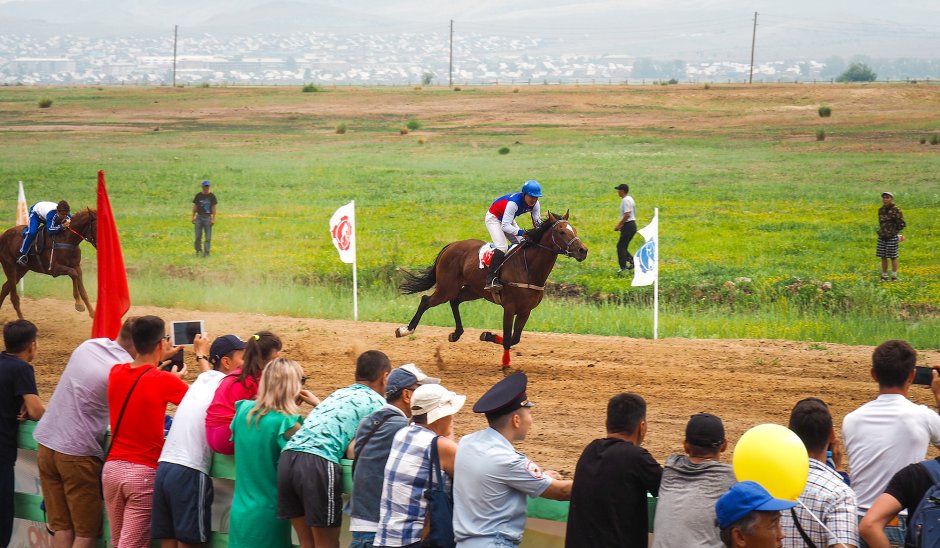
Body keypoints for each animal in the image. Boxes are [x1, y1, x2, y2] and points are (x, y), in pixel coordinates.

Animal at [394, 210, 588, 368]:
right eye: (561, 231)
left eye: (574, 230)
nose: (583, 250)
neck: (529, 269)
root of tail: (451, 246)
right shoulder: (509, 307)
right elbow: (508, 338)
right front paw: (505, 364)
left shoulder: (526, 310)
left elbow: (515, 338)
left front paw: (487, 335)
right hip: (447, 287)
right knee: (426, 301)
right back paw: (405, 330)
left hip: (473, 290)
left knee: (454, 301)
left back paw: (456, 334)